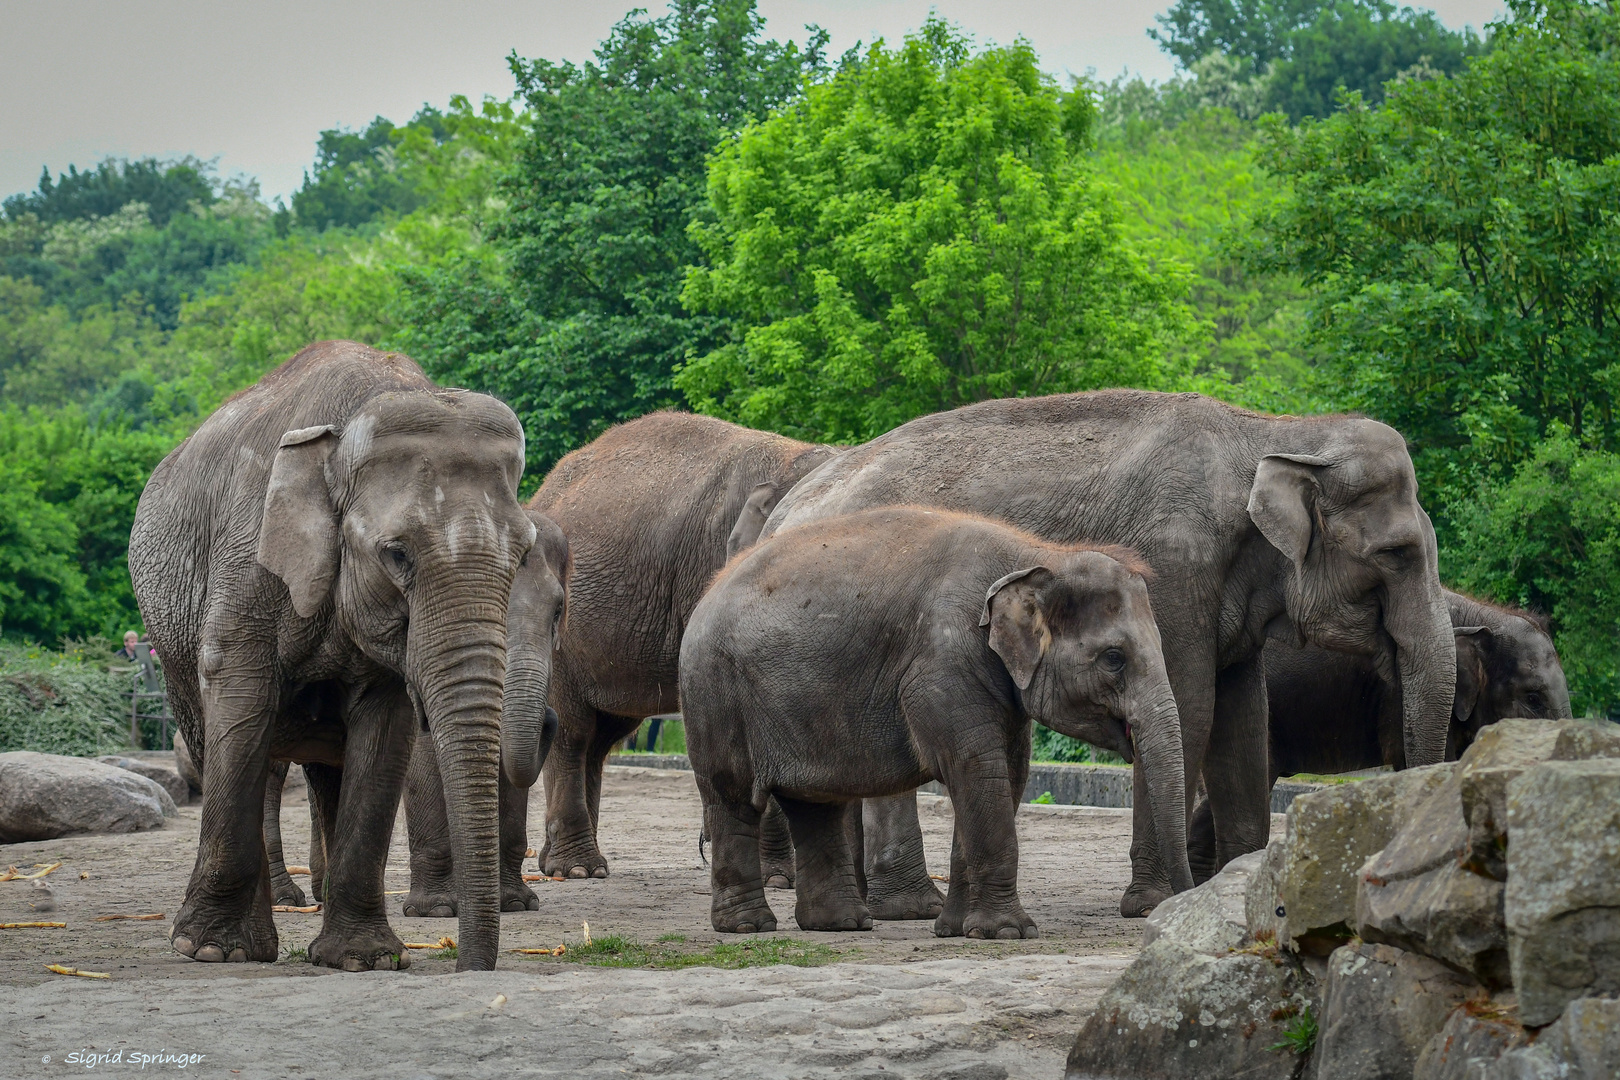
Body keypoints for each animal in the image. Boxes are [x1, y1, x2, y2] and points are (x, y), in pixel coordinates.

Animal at [127, 340, 531, 971]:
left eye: (524, 554)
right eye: (396, 555)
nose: (467, 965)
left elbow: (383, 732)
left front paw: (365, 960)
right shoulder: (248, 564)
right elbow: (240, 706)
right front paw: (210, 950)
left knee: (326, 770)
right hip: (170, 648)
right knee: (225, 742)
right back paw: (247, 943)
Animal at [683, 508, 1192, 939]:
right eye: (1113, 659)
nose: (1173, 905)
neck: (1039, 555)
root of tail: (708, 589)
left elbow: (1006, 775)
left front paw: (955, 930)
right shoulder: (943, 663)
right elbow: (977, 769)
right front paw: (1008, 933)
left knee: (815, 806)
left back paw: (842, 925)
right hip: (715, 694)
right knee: (733, 797)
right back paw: (748, 927)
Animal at [764, 393, 1464, 919]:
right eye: (1397, 554)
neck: (1276, 430)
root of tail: (784, 509)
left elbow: (1242, 723)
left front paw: (1235, 885)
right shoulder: (1172, 571)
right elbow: (1193, 709)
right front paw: (1156, 903)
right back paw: (905, 909)